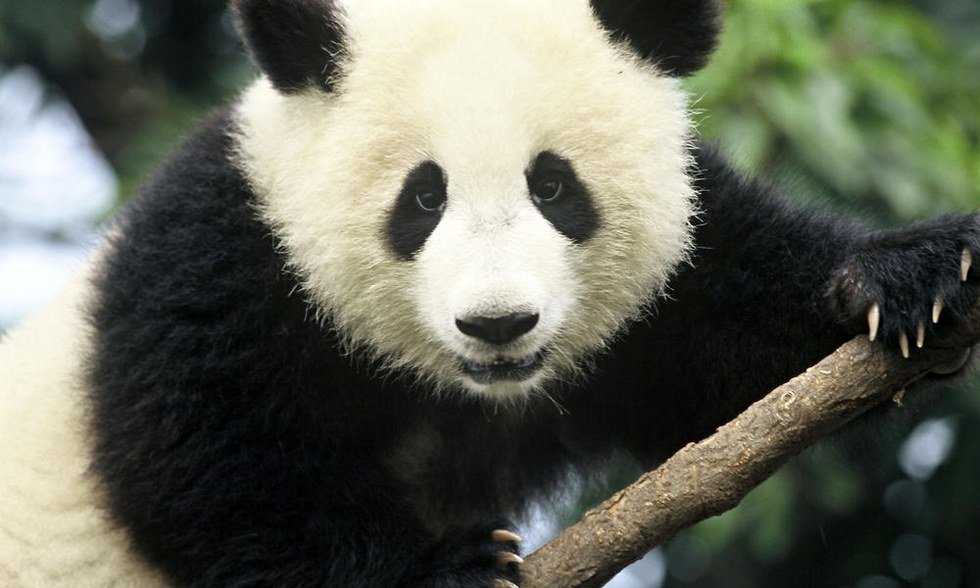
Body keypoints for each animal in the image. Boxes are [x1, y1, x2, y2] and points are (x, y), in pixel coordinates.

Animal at [1, 0, 977, 586]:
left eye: (554, 186)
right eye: (422, 198)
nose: (499, 323)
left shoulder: (671, 286)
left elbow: (727, 343)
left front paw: (912, 278)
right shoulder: (219, 261)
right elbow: (207, 475)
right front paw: (444, 571)